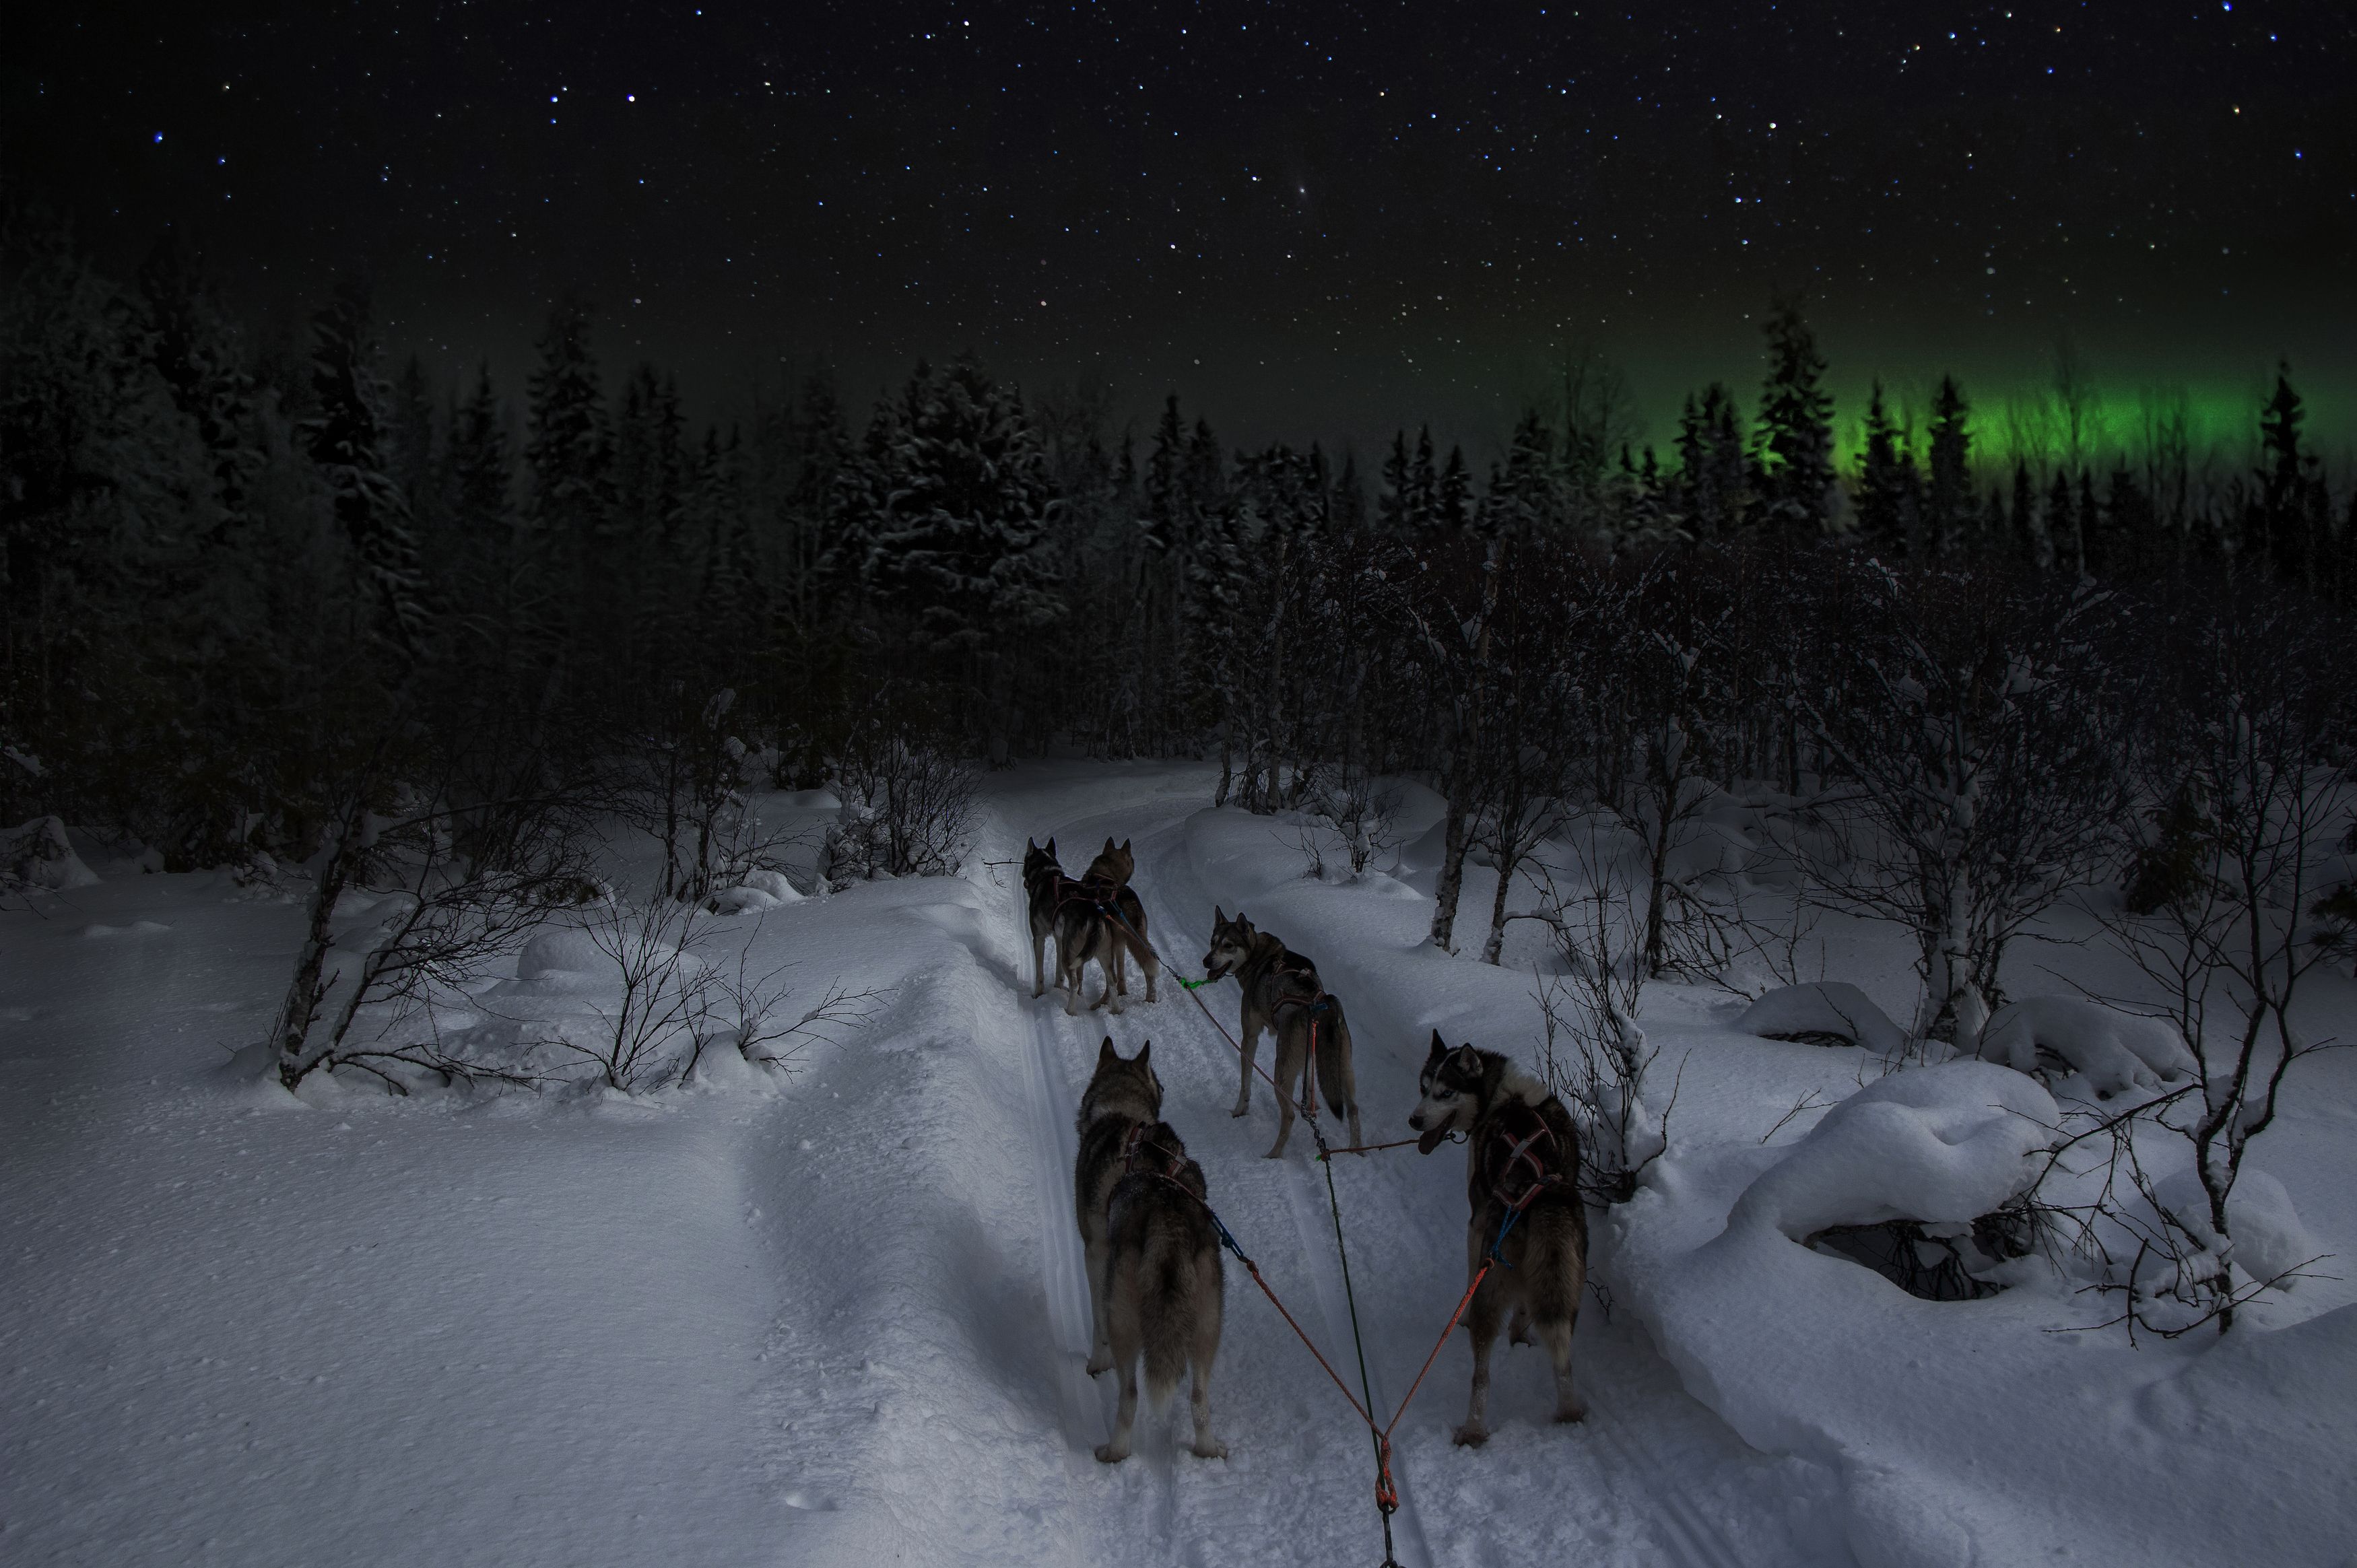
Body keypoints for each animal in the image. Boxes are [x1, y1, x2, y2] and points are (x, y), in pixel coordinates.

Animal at [1080, 1037, 1226, 1471]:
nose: (1165, 1088)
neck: (1124, 1113)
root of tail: (1166, 1209)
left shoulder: (1095, 1255)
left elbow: (1096, 1323)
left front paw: (1096, 1362)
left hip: (1125, 1317)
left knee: (1129, 1395)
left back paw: (1114, 1452)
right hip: (1209, 1323)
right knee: (1199, 1400)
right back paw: (1208, 1450)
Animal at [1207, 905, 1358, 1151]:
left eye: (1228, 945)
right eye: (1213, 942)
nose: (1206, 961)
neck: (1260, 959)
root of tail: (1321, 1003)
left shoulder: (1249, 1038)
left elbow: (1245, 1084)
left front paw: (1239, 1111)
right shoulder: (1308, 1058)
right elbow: (1309, 1086)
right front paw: (1313, 1107)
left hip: (1281, 1071)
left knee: (1289, 1116)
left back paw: (1273, 1155)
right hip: (1342, 1067)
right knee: (1353, 1109)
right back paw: (1355, 1152)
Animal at [1405, 1027, 1593, 1443]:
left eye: (1445, 1092)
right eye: (1423, 1087)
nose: (1414, 1120)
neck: (1499, 1096)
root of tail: (1537, 1192)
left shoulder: (1475, 1225)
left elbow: (1467, 1279)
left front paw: (1460, 1319)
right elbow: (1524, 1306)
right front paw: (1519, 1333)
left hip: (1490, 1285)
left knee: (1482, 1377)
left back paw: (1473, 1429)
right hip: (1566, 1291)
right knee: (1563, 1360)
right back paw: (1569, 1413)